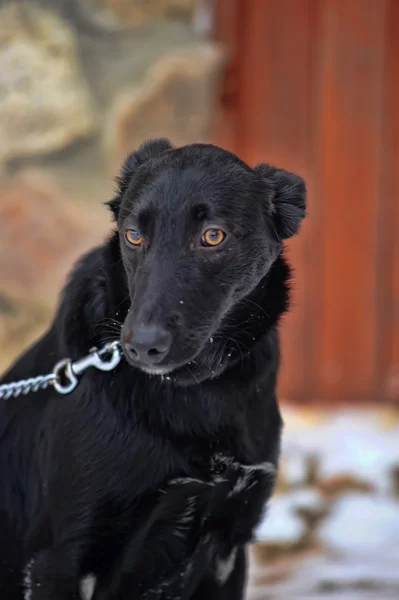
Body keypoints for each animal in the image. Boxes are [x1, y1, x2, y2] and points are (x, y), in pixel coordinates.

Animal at [0, 138, 306, 596]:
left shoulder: (228, 548)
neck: (195, 393)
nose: (141, 346)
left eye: (212, 236)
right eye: (134, 235)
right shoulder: (56, 559)